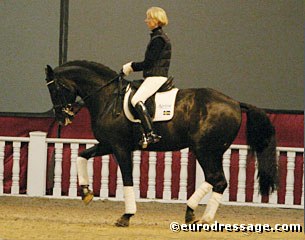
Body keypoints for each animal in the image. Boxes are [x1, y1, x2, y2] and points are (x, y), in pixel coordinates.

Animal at [44, 59, 278, 227]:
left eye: (55, 89)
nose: (62, 118)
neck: (108, 98)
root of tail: (235, 103)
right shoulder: (107, 144)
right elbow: (81, 156)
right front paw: (86, 192)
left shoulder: (120, 147)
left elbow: (127, 179)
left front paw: (126, 216)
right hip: (211, 151)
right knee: (215, 180)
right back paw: (192, 214)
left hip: (205, 150)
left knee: (217, 180)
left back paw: (202, 217)